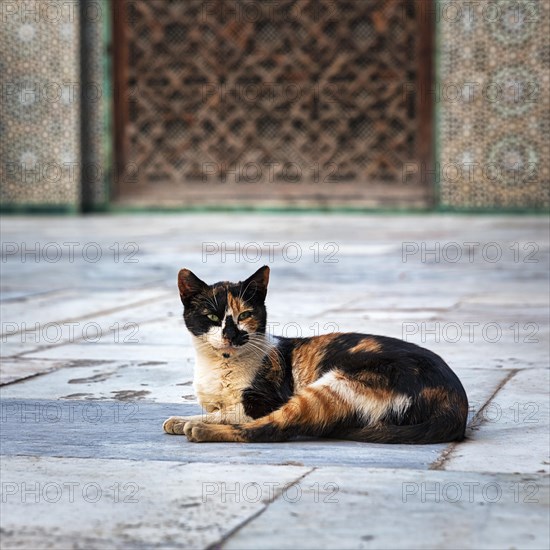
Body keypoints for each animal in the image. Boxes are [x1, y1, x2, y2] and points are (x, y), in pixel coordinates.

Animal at [164, 266, 470, 444]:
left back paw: (197, 431)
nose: (231, 334)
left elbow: (227, 413)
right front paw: (181, 419)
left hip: (331, 385)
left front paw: (187, 421)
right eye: (213, 317)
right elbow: (213, 410)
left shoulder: (263, 402)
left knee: (271, 429)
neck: (221, 364)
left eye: (245, 315)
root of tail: (455, 401)